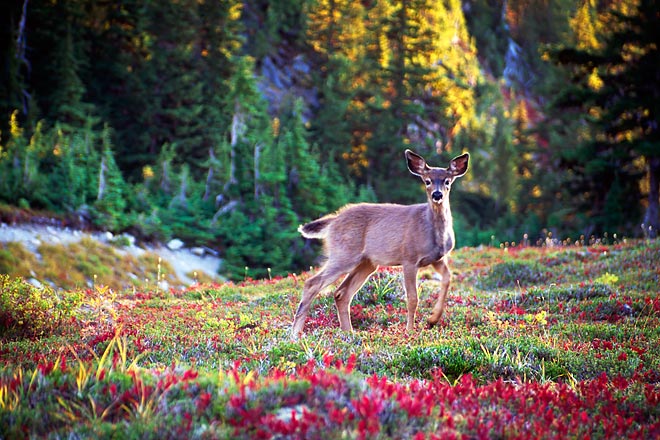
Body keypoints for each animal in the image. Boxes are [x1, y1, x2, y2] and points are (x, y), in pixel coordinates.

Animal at [290, 150, 470, 338]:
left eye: (447, 181)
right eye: (427, 181)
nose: (437, 195)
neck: (433, 232)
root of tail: (333, 220)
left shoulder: (438, 258)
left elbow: (448, 278)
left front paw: (433, 319)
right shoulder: (409, 258)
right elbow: (412, 298)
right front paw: (409, 331)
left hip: (367, 263)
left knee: (341, 293)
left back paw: (349, 333)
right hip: (344, 254)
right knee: (312, 283)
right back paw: (295, 334)